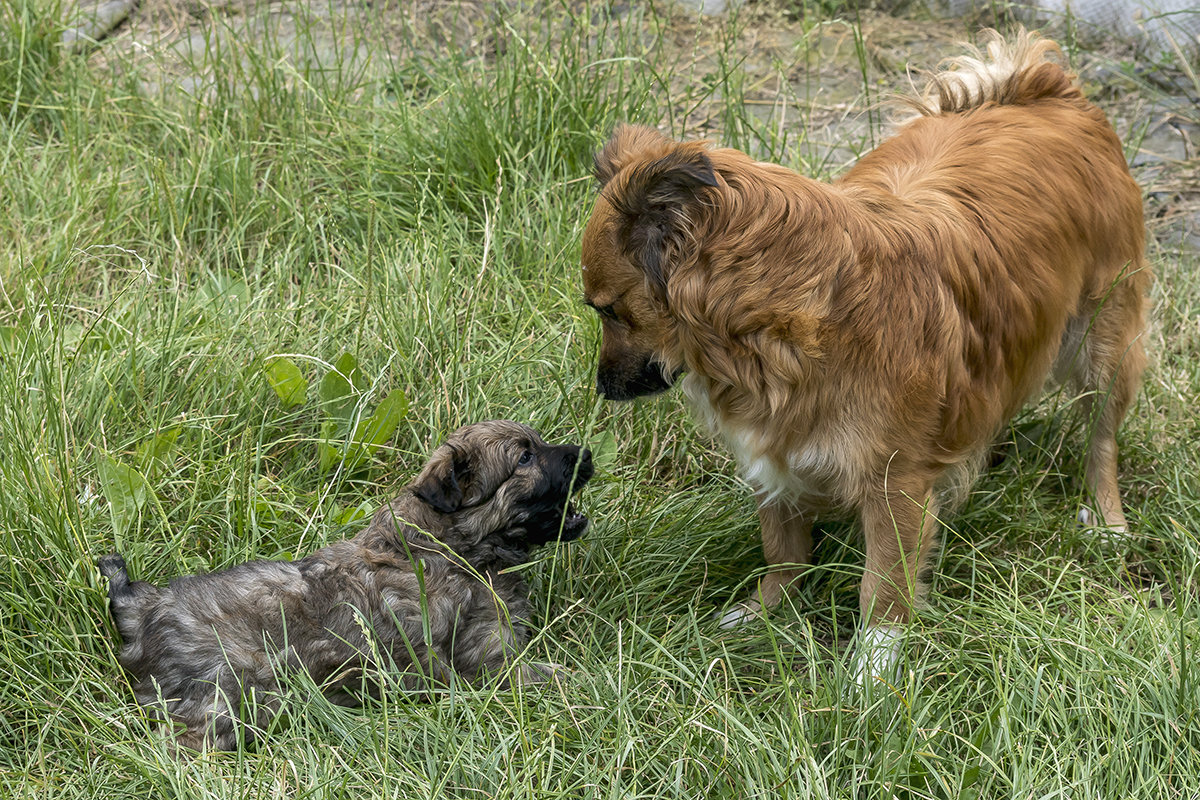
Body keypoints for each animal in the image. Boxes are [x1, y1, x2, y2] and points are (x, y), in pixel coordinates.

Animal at [99, 422, 595, 753]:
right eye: (525, 458)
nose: (587, 453)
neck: (450, 546)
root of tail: (143, 611)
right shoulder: (488, 665)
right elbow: (553, 676)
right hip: (228, 695)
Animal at [580, 29, 1152, 671]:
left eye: (607, 310)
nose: (602, 386)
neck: (790, 323)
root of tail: (1045, 91)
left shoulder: (894, 485)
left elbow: (883, 589)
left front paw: (870, 674)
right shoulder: (774, 454)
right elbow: (782, 549)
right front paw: (763, 614)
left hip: (1104, 342)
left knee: (1101, 438)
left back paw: (1107, 523)